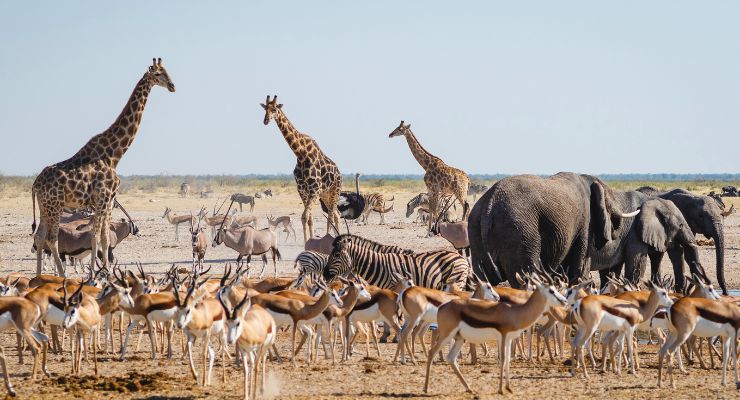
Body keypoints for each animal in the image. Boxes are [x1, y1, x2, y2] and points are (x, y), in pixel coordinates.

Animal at [32, 57, 177, 276]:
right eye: (159, 74)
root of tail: (35, 185)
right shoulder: (103, 200)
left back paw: (39, 276)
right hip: (55, 206)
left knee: (40, 236)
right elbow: (96, 237)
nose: (172, 86)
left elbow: (104, 237)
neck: (114, 155)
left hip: (44, 206)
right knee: (51, 238)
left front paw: (104, 272)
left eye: (168, 71)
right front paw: (97, 273)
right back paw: (62, 275)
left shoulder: (107, 202)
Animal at [260, 96, 342, 244]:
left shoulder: (314, 189)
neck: (301, 154)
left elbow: (305, 216)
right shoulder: (302, 190)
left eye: (274, 109)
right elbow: (308, 218)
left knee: (332, 215)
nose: (266, 120)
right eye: (265, 109)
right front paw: (307, 242)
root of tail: (339, 173)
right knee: (336, 214)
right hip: (325, 194)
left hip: (335, 191)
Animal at [322, 233, 468, 290]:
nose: (324, 274)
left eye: (336, 255)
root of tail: (462, 258)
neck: (377, 265)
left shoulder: (395, 286)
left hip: (456, 281)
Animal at [422, 276, 568, 394]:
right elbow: (502, 360)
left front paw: (509, 388)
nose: (565, 301)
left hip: (459, 338)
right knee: (432, 352)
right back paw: (426, 389)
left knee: (451, 358)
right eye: (551, 290)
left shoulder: (509, 339)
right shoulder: (502, 337)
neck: (515, 312)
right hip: (446, 334)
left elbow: (508, 360)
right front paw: (500, 390)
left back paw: (469, 388)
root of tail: (442, 306)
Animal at [472, 172, 640, 284]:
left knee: (484, 280)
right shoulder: (585, 222)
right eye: (609, 203)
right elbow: (579, 268)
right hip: (519, 231)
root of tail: (491, 202)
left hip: (475, 227)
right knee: (525, 278)